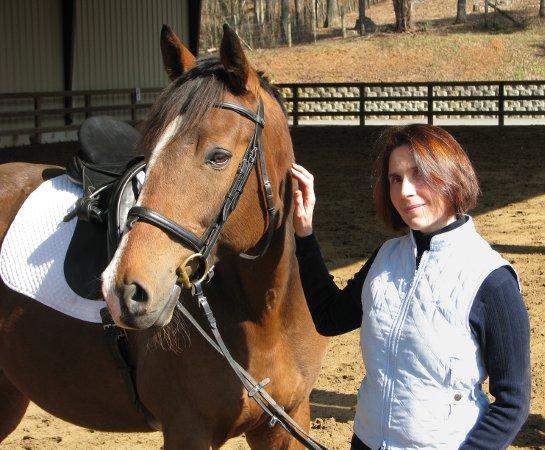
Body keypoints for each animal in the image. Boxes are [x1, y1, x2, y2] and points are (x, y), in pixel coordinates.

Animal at [0, 25, 328, 450]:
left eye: (219, 156)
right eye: (148, 150)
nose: (123, 290)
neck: (266, 315)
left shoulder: (285, 421)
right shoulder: (187, 430)